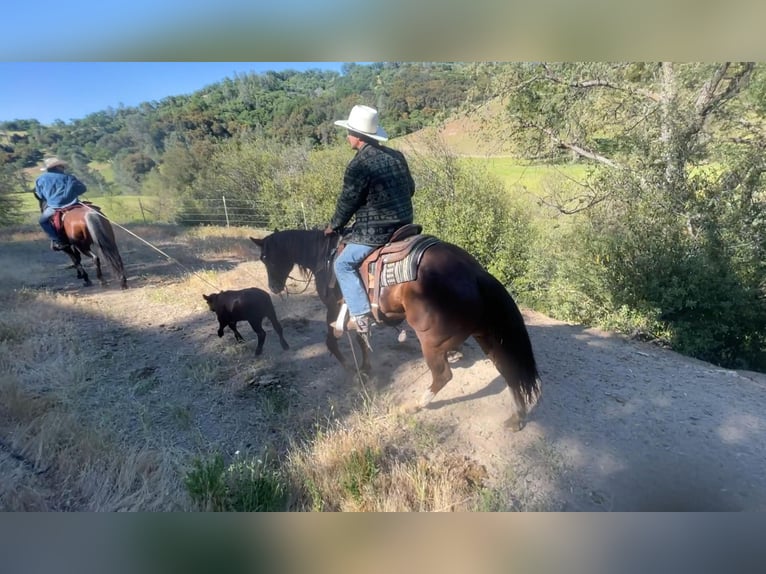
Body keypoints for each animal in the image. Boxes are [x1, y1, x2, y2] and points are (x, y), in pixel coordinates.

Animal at [250, 230, 540, 432]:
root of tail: (476, 272)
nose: (273, 287)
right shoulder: (357, 313)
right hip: (486, 336)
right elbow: (361, 338)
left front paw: (354, 373)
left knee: (443, 376)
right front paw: (365, 368)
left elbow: (331, 341)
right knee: (508, 369)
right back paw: (516, 417)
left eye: (266, 258)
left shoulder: (333, 308)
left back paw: (413, 406)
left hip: (432, 342)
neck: (326, 258)